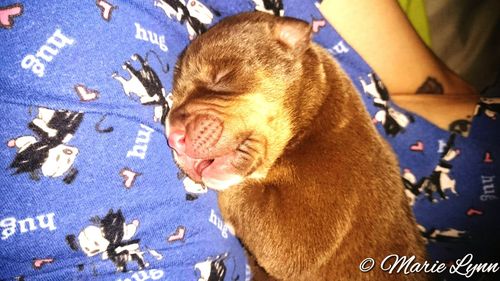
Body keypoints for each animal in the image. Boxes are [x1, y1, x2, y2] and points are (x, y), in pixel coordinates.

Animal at [166, 11, 428, 280]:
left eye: (221, 76)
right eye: (176, 95)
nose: (172, 135)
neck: (313, 120)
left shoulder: (304, 228)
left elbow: (245, 196)